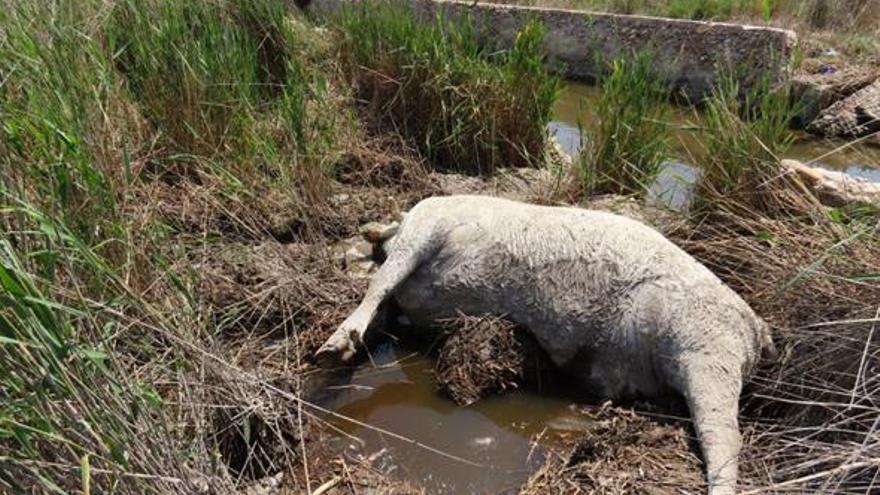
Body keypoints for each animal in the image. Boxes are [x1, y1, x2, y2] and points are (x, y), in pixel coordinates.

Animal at [316, 196, 776, 494]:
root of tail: (758, 333)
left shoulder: (430, 223)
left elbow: (381, 282)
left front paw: (332, 349)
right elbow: (387, 297)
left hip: (707, 351)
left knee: (725, 437)